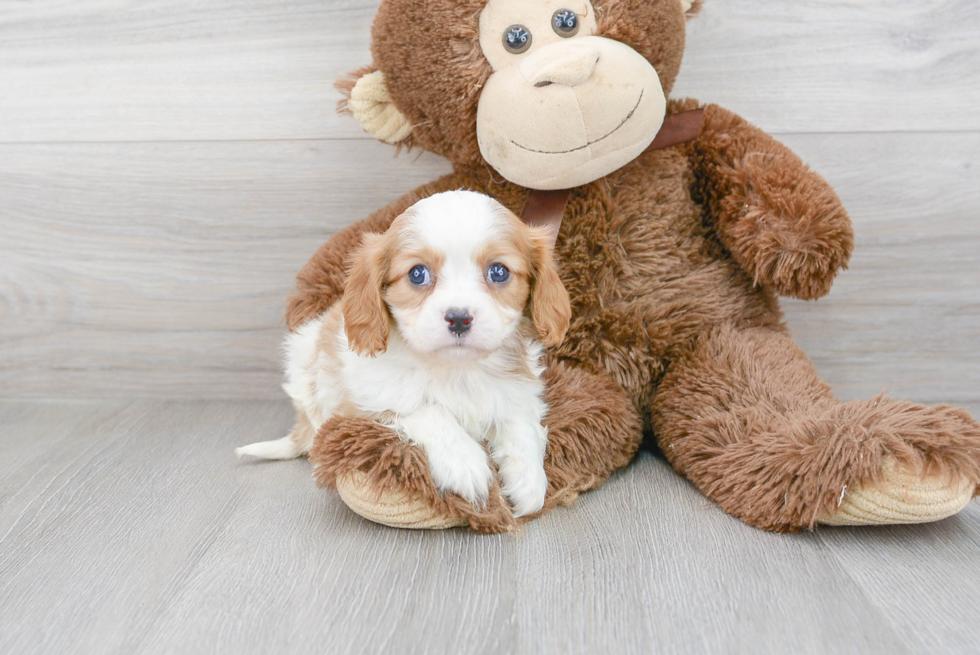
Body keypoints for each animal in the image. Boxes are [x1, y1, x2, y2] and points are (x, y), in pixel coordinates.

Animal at [238, 190, 572, 516]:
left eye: (499, 272)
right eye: (417, 274)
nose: (459, 318)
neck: (457, 370)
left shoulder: (519, 391)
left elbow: (520, 423)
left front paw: (529, 480)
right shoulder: (363, 401)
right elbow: (426, 409)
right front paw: (465, 462)